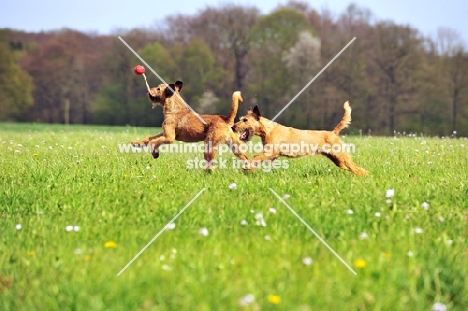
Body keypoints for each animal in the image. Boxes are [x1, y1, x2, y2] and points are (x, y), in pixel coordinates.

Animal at [232, 102, 368, 176]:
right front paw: (250, 168)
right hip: (337, 160)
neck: (268, 129)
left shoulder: (270, 152)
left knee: (356, 168)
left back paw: (366, 175)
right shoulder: (271, 155)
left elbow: (256, 157)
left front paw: (247, 166)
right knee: (351, 168)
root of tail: (333, 133)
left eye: (245, 120)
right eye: (241, 119)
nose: (233, 127)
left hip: (341, 156)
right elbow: (257, 158)